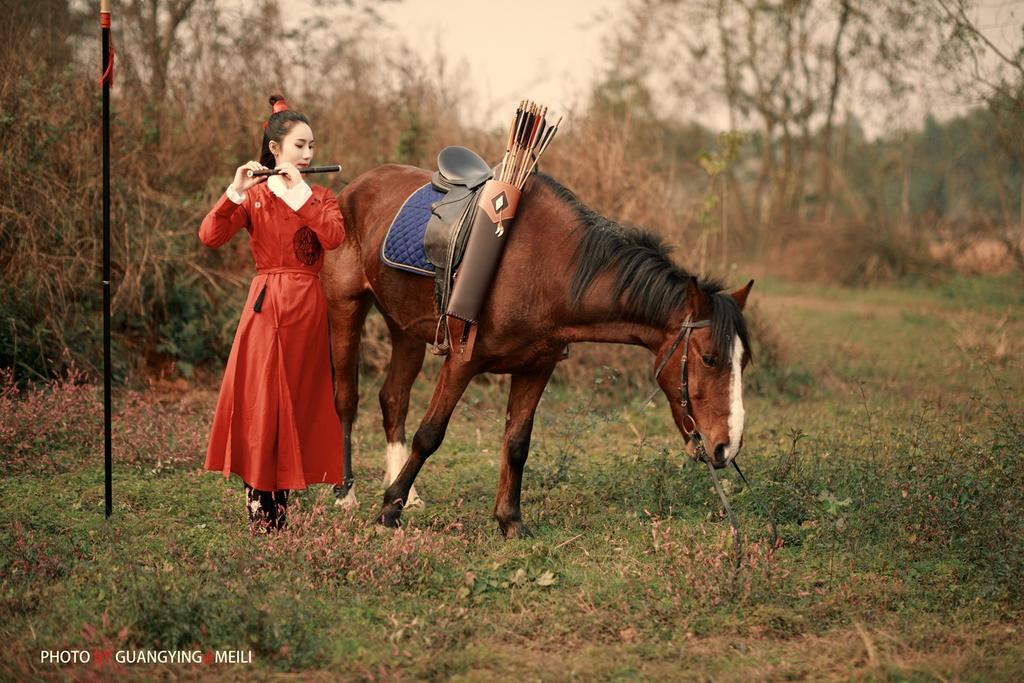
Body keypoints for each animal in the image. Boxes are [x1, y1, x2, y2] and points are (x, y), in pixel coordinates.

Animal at [323, 162, 757, 536]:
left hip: (406, 329)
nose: (728, 447)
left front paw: (510, 521)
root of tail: (357, 185)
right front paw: (388, 510)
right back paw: (348, 493)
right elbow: (430, 434)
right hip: (346, 306)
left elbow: (517, 444)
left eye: (743, 363)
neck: (546, 268)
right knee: (347, 400)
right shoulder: (462, 362)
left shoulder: (536, 368)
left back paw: (407, 493)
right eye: (709, 359)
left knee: (393, 399)